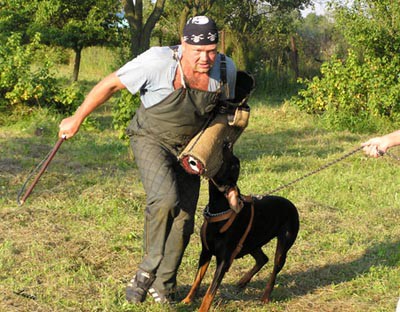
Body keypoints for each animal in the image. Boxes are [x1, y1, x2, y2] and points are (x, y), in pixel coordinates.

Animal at [183, 147, 298, 312]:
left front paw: (202, 309)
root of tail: (291, 205)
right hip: (251, 243)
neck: (218, 212)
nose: (228, 145)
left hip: (283, 244)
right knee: (263, 258)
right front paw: (187, 300)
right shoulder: (205, 252)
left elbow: (210, 291)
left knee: (274, 269)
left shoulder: (224, 261)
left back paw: (265, 296)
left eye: (234, 165)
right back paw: (243, 280)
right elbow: (197, 280)